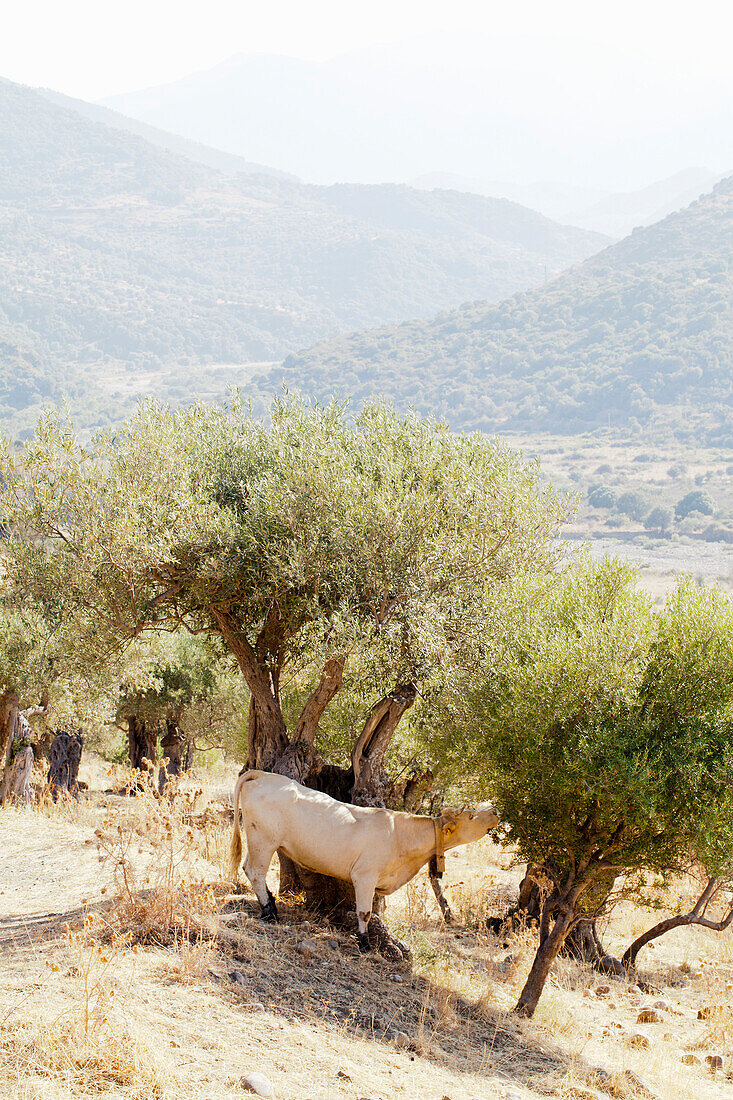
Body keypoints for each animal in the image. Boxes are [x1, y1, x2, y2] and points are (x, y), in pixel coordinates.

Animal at [226, 770, 497, 950]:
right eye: (471, 816)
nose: (494, 811)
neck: (400, 834)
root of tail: (262, 775)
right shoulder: (365, 876)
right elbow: (364, 912)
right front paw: (364, 942)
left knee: (250, 869)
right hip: (263, 839)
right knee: (255, 871)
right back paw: (269, 912)